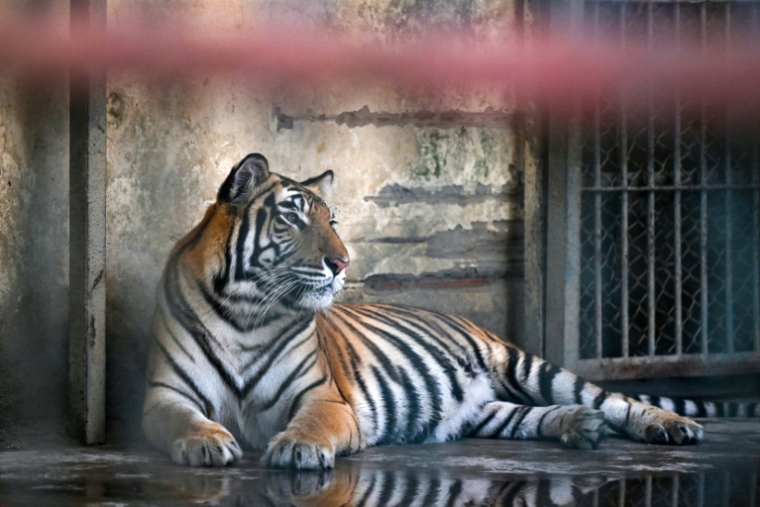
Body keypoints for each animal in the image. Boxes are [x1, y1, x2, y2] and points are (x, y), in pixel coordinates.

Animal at [144, 152, 720, 469]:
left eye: (332, 221)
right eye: (293, 218)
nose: (342, 262)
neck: (247, 315)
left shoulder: (323, 398)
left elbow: (311, 424)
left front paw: (298, 450)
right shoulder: (166, 394)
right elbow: (181, 420)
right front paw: (206, 443)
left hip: (524, 364)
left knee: (613, 398)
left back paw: (668, 426)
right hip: (485, 411)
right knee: (530, 416)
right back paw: (580, 427)